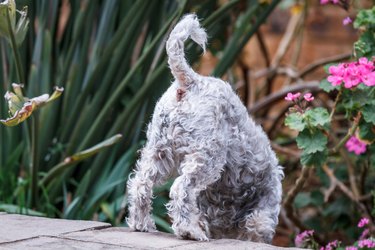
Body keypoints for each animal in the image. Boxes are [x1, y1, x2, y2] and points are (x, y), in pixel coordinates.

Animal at [127, 13, 284, 242]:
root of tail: (190, 81)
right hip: (207, 156)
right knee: (180, 189)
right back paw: (190, 231)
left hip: (159, 151)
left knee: (141, 183)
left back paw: (142, 224)